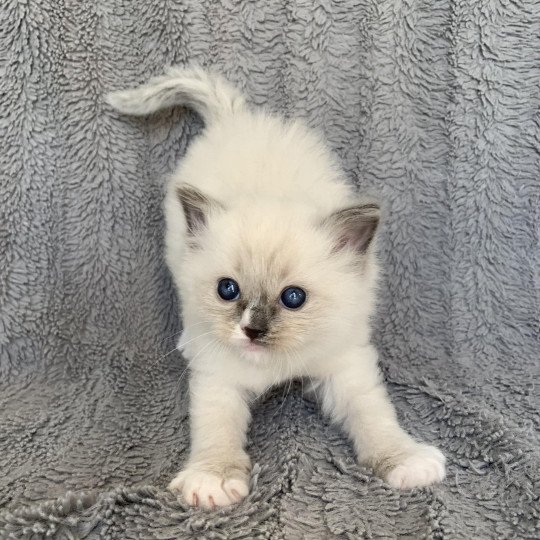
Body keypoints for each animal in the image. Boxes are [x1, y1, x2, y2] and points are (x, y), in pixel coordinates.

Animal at [107, 66, 446, 506]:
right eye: (228, 290)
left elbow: (375, 416)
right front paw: (212, 479)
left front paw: (405, 460)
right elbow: (216, 430)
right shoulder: (218, 377)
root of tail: (236, 119)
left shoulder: (346, 365)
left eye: (293, 298)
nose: (252, 330)